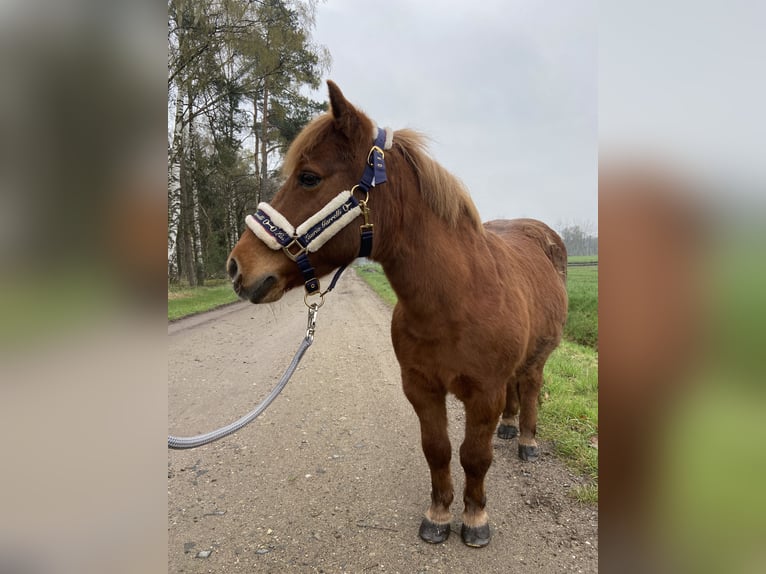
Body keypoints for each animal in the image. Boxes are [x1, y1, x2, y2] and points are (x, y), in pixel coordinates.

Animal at [225, 81, 568, 548]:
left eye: (309, 177)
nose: (236, 267)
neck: (455, 301)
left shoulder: (484, 393)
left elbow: (474, 457)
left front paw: (475, 518)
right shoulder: (421, 388)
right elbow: (438, 450)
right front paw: (438, 514)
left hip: (537, 357)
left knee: (530, 386)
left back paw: (527, 440)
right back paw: (511, 426)